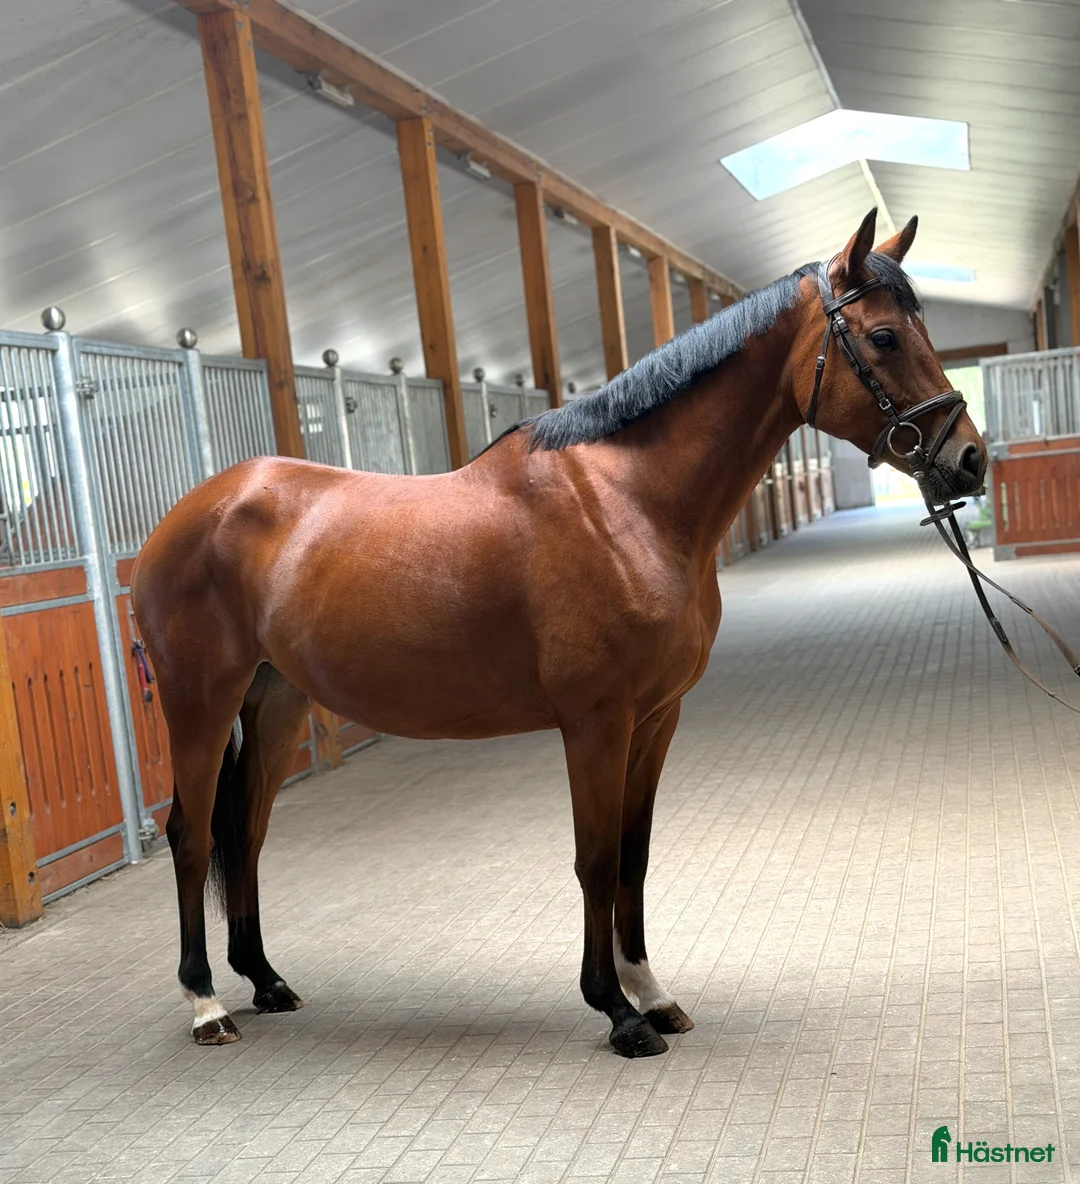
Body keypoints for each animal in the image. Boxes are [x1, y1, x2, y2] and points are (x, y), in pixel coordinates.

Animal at [131, 209, 987, 1058]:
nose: (970, 459)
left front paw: (654, 993)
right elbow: (597, 859)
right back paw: (207, 1003)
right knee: (191, 834)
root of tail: (192, 511)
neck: (627, 503)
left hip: (275, 702)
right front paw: (616, 1011)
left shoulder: (656, 717)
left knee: (246, 833)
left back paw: (266, 981)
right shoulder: (596, 721)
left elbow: (635, 856)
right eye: (884, 337)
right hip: (200, 702)